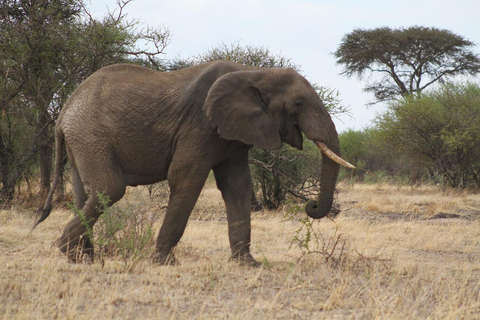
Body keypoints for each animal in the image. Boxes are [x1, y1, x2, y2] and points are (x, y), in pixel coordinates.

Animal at [33, 60, 354, 268]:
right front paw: (164, 263)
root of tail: (63, 112)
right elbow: (187, 178)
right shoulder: (200, 125)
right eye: (299, 104)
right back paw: (67, 250)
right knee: (109, 189)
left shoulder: (232, 134)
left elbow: (237, 187)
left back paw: (81, 259)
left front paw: (248, 264)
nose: (311, 205)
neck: (256, 73)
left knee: (85, 194)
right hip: (91, 135)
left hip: (82, 139)